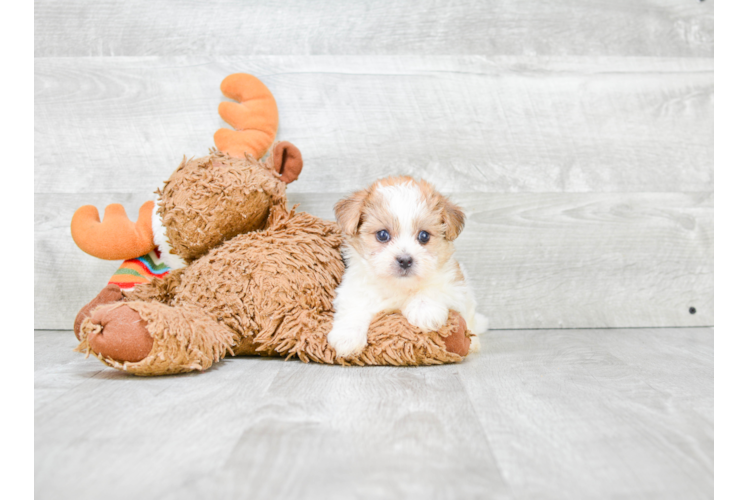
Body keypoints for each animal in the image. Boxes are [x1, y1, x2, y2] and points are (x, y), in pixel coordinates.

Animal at [326, 175, 488, 356]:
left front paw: (424, 310)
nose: (404, 260)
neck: (400, 287)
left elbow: (435, 288)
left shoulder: (455, 285)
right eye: (382, 235)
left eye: (424, 236)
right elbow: (354, 306)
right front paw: (347, 336)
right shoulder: (354, 288)